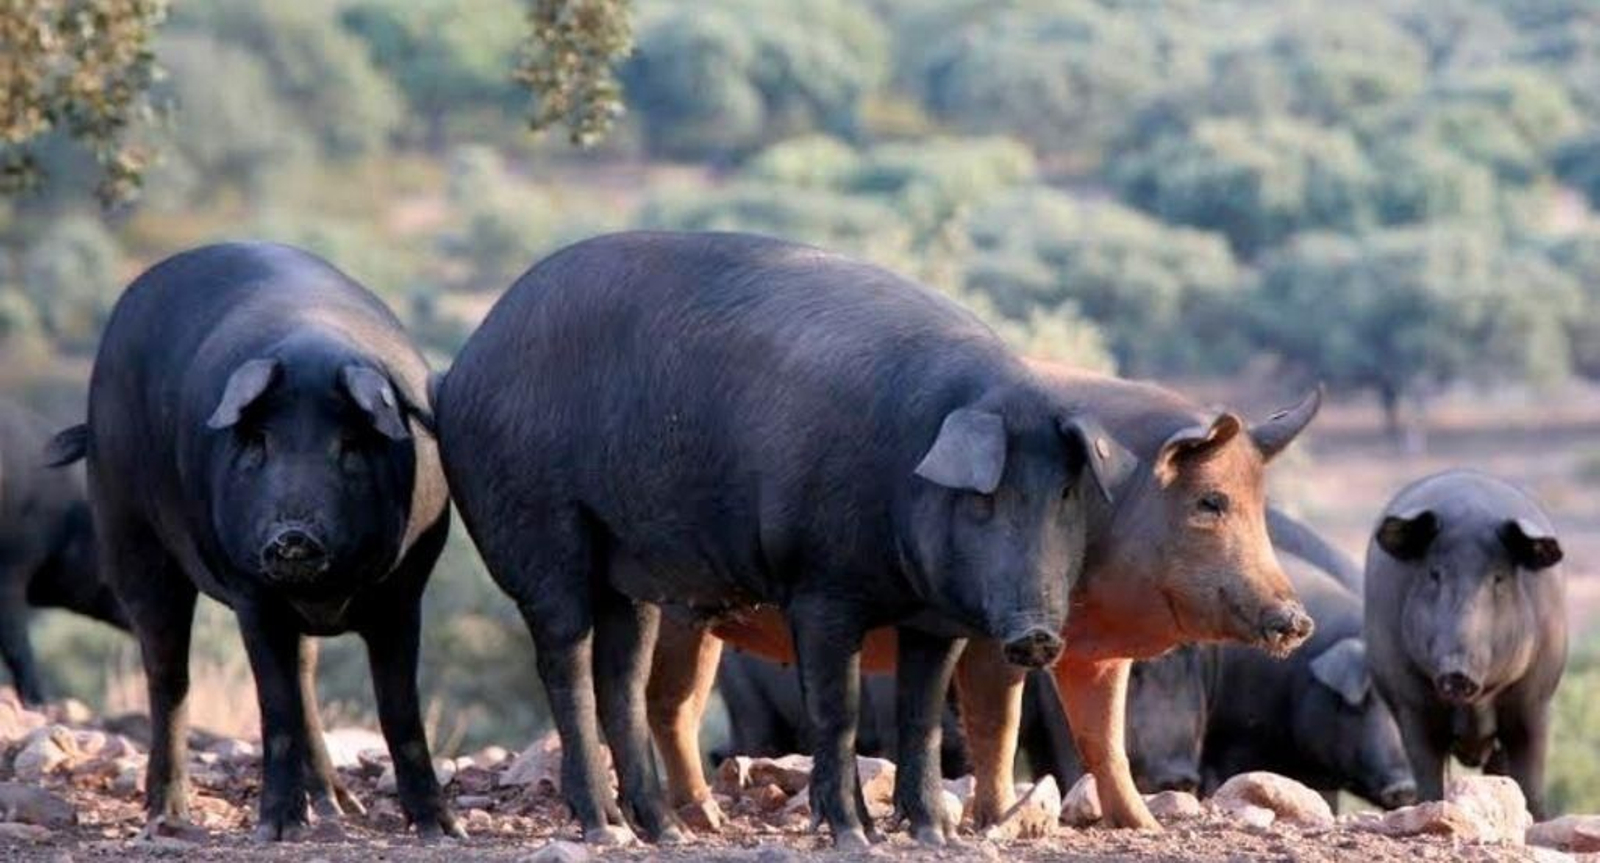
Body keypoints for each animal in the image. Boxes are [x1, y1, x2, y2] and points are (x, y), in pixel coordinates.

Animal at [46, 243, 458, 840]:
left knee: (304, 675)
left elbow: (399, 708)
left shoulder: (404, 590)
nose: (293, 536)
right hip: (127, 529)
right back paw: (169, 815)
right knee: (167, 671)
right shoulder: (251, 595)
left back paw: (339, 808)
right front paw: (277, 831)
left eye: (351, 444)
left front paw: (443, 830)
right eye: (260, 441)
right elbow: (275, 707)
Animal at [436, 231, 1134, 848]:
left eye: (1064, 494)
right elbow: (837, 711)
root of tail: (464, 364)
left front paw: (934, 836)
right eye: (986, 498)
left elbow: (921, 720)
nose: (1037, 635)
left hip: (625, 573)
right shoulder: (820, 588)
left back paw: (661, 832)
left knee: (622, 680)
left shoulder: (933, 620)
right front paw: (853, 838)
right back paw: (605, 831)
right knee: (564, 663)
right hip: (537, 533)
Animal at [646, 363, 1320, 834]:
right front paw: (996, 821)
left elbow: (1103, 737)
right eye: (1210, 502)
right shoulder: (994, 634)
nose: (1297, 620)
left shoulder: (1095, 654)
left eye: (1260, 506)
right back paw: (699, 820)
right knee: (665, 705)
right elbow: (1001, 721)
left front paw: (1144, 827)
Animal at [1365, 470, 1566, 818]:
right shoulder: (1411, 704)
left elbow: (1531, 784)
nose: (1457, 672)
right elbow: (1428, 778)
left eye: (1498, 577)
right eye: (1435, 574)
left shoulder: (1535, 700)